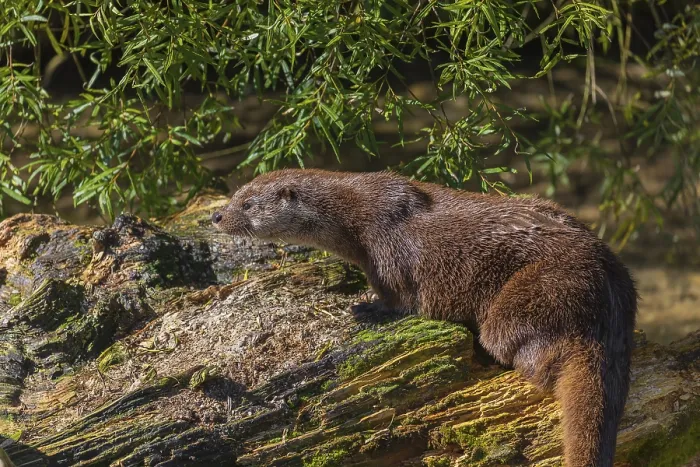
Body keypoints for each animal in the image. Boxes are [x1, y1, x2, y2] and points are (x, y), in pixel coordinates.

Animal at [212, 169, 637, 467]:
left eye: (247, 204)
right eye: (235, 195)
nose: (216, 215)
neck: (353, 213)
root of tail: (606, 295)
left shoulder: (385, 253)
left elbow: (398, 299)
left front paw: (364, 308)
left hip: (535, 295)